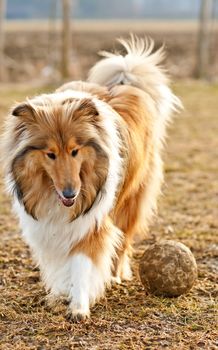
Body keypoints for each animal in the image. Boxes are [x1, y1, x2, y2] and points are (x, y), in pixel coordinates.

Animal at [1, 36, 181, 320]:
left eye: (75, 151)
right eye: (50, 154)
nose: (70, 194)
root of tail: (123, 83)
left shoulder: (92, 222)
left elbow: (82, 263)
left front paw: (79, 306)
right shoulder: (46, 226)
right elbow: (58, 262)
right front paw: (59, 294)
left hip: (131, 200)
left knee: (123, 240)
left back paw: (116, 275)